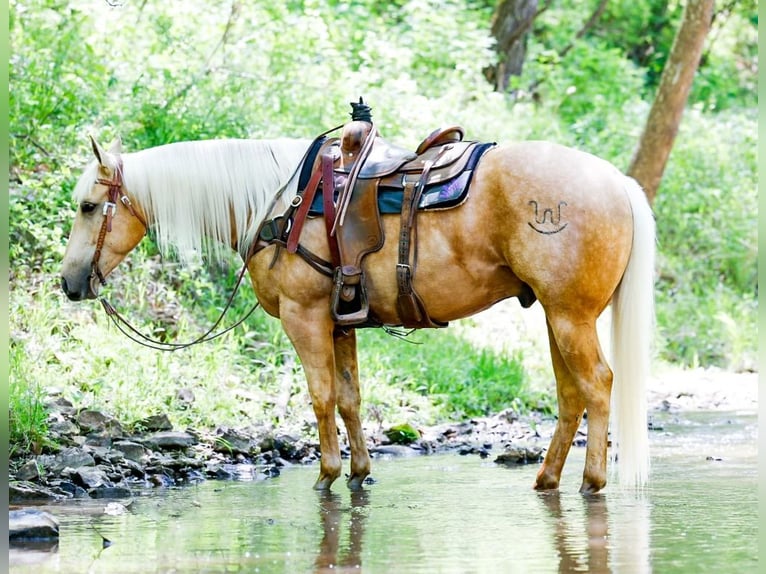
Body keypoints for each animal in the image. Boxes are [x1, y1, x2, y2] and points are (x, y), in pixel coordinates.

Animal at [63, 134, 656, 496]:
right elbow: (349, 398)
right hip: (557, 316)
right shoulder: (339, 323)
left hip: (570, 316)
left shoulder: (304, 319)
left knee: (597, 384)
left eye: (88, 206)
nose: (69, 283)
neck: (279, 204)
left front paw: (325, 474)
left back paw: (592, 481)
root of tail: (617, 183)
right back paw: (547, 479)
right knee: (571, 394)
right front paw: (359, 472)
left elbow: (322, 396)